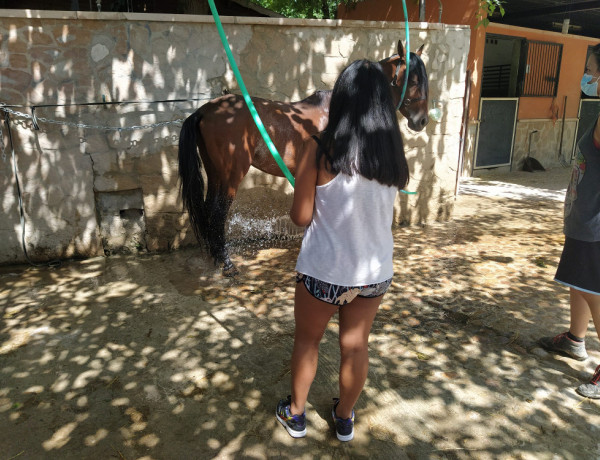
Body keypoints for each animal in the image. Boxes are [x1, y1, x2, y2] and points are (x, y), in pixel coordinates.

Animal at [177, 39, 426, 274]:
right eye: (413, 81)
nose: (421, 121)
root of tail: (204, 111)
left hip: (215, 173)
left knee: (208, 210)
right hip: (230, 176)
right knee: (218, 213)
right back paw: (226, 264)